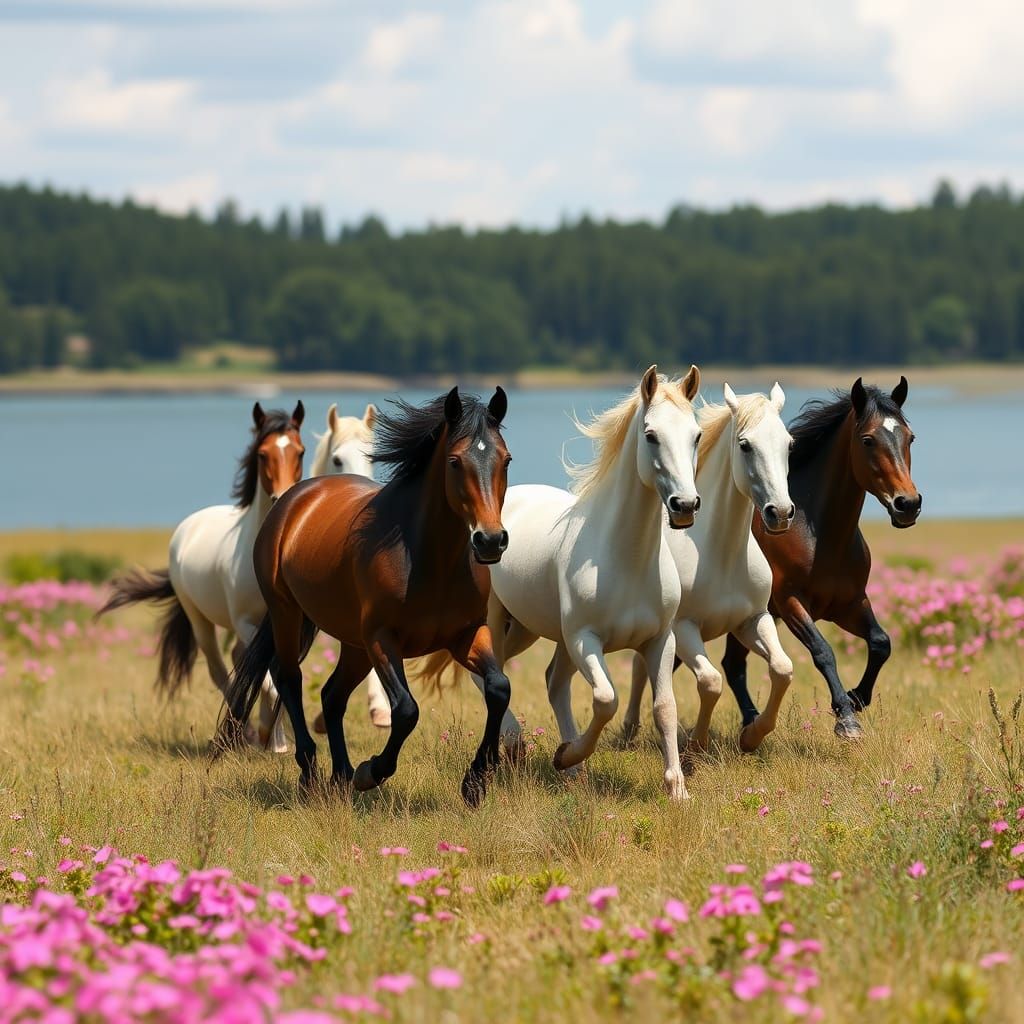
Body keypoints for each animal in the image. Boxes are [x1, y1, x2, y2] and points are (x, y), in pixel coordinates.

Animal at [98, 402, 305, 751]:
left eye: (300, 451)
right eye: (262, 454)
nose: (283, 499)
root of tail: (189, 525)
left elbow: (275, 675)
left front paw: (276, 742)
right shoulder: (246, 623)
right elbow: (266, 681)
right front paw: (271, 738)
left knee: (239, 661)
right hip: (200, 622)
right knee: (221, 672)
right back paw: (244, 734)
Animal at [476, 366, 702, 801]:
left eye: (697, 434)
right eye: (651, 435)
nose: (685, 506)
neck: (627, 559)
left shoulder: (659, 640)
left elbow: (664, 708)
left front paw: (677, 790)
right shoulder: (585, 639)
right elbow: (605, 699)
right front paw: (567, 754)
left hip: (532, 629)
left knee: (553, 683)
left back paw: (571, 773)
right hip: (498, 618)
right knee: (491, 675)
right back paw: (516, 745)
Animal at [622, 383, 797, 756]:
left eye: (789, 444)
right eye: (745, 445)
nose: (780, 513)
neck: (721, 557)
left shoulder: (752, 621)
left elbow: (782, 669)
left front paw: (752, 734)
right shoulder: (685, 628)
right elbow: (711, 681)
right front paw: (696, 742)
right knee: (640, 669)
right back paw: (629, 730)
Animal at [721, 377, 922, 742]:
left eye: (909, 437)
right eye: (867, 439)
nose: (908, 504)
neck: (820, 537)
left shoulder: (849, 604)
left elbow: (881, 643)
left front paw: (857, 698)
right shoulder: (790, 603)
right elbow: (823, 651)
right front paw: (846, 718)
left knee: (732, 665)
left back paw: (750, 726)